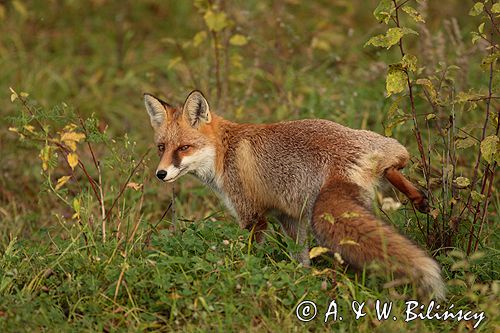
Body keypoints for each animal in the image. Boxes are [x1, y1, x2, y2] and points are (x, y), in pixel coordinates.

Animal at [144, 90, 446, 298]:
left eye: (183, 148)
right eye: (161, 147)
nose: (161, 174)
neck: (224, 152)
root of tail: (349, 160)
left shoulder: (252, 215)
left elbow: (251, 253)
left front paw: (243, 273)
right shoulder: (289, 217)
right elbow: (300, 257)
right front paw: (302, 280)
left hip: (318, 211)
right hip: (384, 147)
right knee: (397, 163)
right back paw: (418, 198)